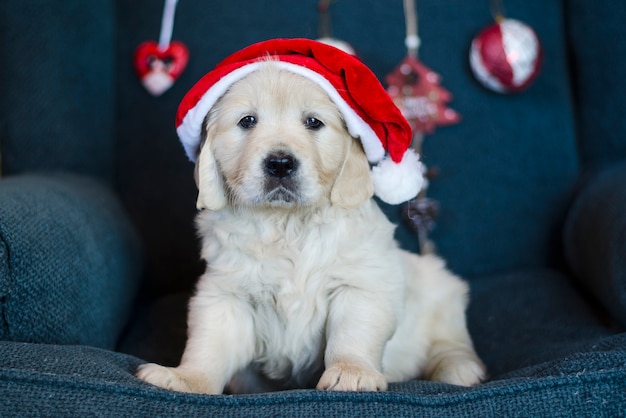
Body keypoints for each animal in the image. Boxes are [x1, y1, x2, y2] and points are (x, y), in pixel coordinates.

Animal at [136, 62, 486, 396]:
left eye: (313, 122)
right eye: (247, 121)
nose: (279, 163)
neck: (288, 223)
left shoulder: (361, 285)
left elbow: (352, 335)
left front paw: (351, 372)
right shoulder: (226, 293)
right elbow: (210, 345)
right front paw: (184, 379)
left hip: (441, 293)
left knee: (451, 343)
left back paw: (460, 369)